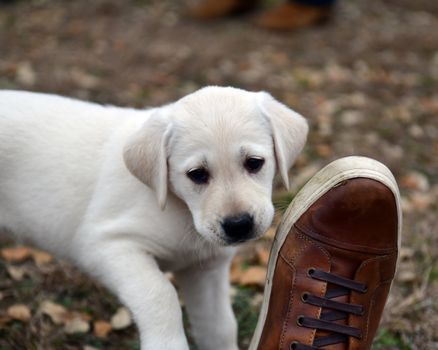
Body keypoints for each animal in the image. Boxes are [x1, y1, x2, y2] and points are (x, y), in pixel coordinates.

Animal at [0, 85, 308, 350]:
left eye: (254, 163)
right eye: (197, 174)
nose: (239, 225)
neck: (179, 210)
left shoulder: (206, 269)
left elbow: (219, 327)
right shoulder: (107, 245)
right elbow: (161, 293)